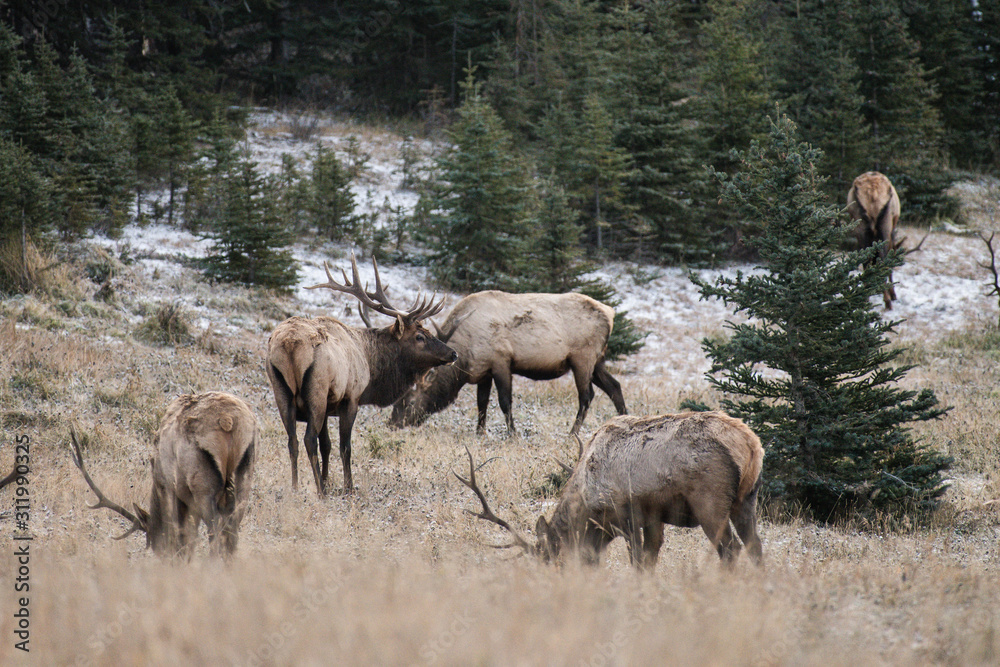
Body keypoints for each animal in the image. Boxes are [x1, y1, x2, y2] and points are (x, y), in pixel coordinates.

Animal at [69, 392, 258, 558]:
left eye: (157, 544)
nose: (170, 561)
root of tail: (228, 420)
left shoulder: (169, 487)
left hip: (202, 485)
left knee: (215, 528)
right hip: (244, 477)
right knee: (232, 529)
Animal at [266, 253, 457, 496]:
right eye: (419, 336)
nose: (453, 353)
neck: (369, 361)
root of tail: (290, 343)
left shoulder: (328, 407)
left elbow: (327, 445)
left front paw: (328, 480)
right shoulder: (350, 398)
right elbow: (344, 446)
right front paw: (347, 487)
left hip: (282, 392)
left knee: (292, 441)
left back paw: (295, 488)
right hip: (316, 391)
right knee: (308, 439)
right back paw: (321, 492)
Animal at [389, 291, 627, 436]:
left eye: (409, 401)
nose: (393, 423)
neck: (465, 356)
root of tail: (611, 313)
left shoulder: (501, 361)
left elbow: (505, 401)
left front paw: (513, 435)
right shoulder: (483, 371)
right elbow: (482, 403)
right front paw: (479, 433)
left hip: (583, 358)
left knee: (586, 396)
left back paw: (572, 433)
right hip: (598, 360)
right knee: (615, 387)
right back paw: (625, 419)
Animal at [456, 411, 764, 569]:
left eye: (552, 560)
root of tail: (750, 444)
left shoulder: (626, 514)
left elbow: (638, 561)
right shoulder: (654, 518)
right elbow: (650, 559)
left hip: (709, 501)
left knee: (731, 549)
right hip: (747, 499)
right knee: (755, 547)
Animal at [846, 171, 902, 309]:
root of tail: (872, 193)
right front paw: (893, 294)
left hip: (859, 224)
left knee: (866, 260)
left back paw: (865, 298)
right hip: (885, 224)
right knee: (882, 260)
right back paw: (887, 300)